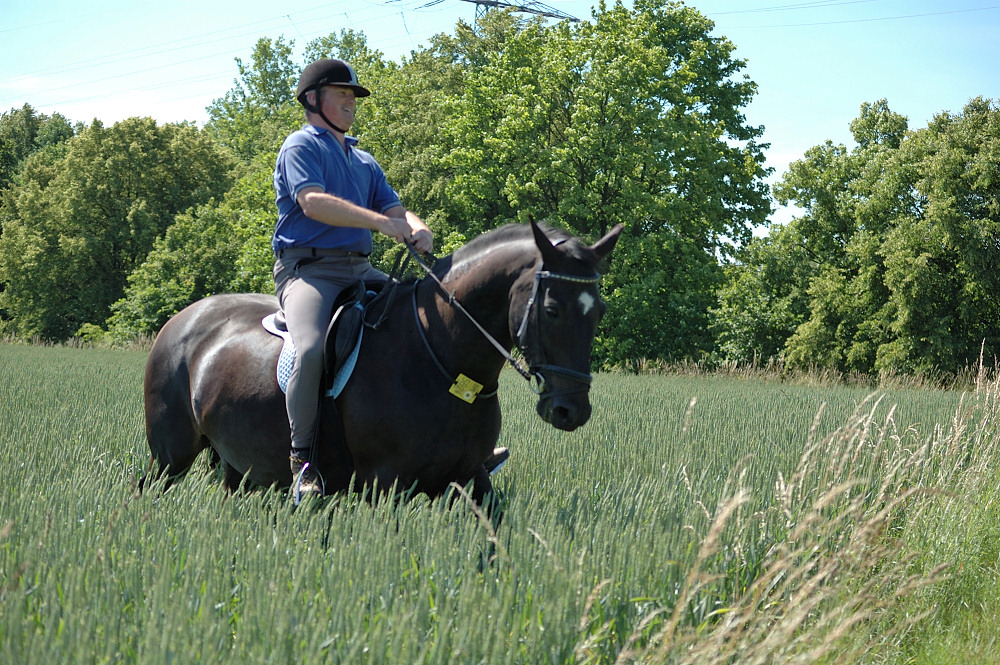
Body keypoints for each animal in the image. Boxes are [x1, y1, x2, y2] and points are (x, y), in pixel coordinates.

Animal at [145, 220, 620, 506]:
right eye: (553, 310)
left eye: (599, 311)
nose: (571, 410)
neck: (440, 360)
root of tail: (182, 319)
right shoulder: (385, 483)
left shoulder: (469, 477)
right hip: (169, 456)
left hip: (236, 466)